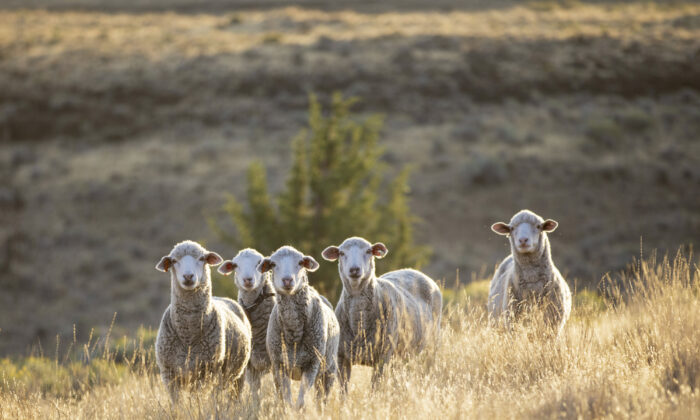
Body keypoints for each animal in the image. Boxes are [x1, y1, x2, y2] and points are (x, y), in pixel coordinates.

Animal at [154, 240, 253, 400]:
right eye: (174, 261)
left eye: (202, 259)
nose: (188, 276)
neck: (188, 335)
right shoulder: (170, 374)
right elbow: (178, 402)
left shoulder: (207, 372)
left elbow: (198, 399)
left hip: (238, 374)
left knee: (231, 397)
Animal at [262, 244, 340, 408]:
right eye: (273, 264)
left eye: (300, 262)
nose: (287, 280)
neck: (294, 332)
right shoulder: (280, 365)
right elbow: (286, 400)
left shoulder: (312, 364)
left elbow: (301, 402)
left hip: (328, 370)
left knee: (321, 399)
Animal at [320, 238, 440, 392]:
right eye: (341, 253)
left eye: (368, 251)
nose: (354, 270)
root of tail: (411, 270)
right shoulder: (342, 357)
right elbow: (343, 390)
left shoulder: (382, 357)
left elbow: (374, 388)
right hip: (403, 354)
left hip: (430, 347)